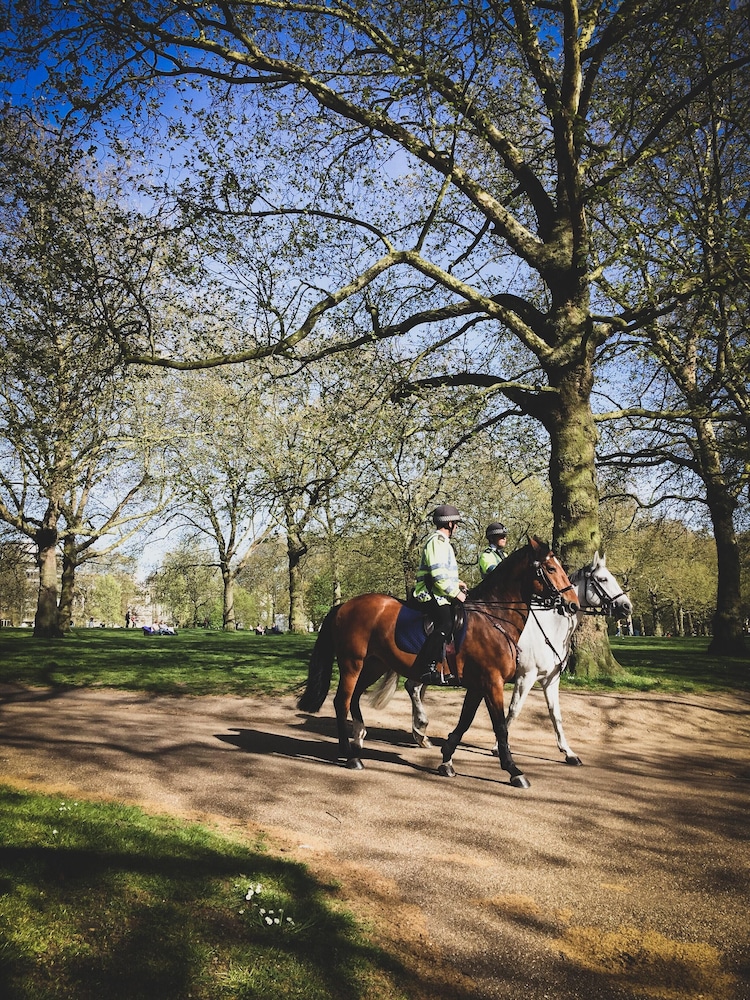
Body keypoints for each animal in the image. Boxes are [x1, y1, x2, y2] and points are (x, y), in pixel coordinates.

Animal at [296, 536, 580, 784]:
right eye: (551, 568)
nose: (573, 604)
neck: (493, 618)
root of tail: (344, 606)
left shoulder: (480, 685)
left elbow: (465, 721)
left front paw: (447, 760)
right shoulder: (494, 682)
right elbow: (501, 725)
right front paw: (513, 770)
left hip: (374, 664)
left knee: (355, 698)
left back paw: (360, 738)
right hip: (352, 664)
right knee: (342, 701)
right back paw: (350, 754)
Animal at [374, 556, 632, 764]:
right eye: (603, 579)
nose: (627, 607)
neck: (550, 626)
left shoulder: (549, 680)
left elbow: (555, 714)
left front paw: (568, 752)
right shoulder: (525, 677)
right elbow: (514, 711)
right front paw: (498, 747)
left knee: (415, 687)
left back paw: (420, 733)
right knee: (413, 687)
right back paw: (421, 728)